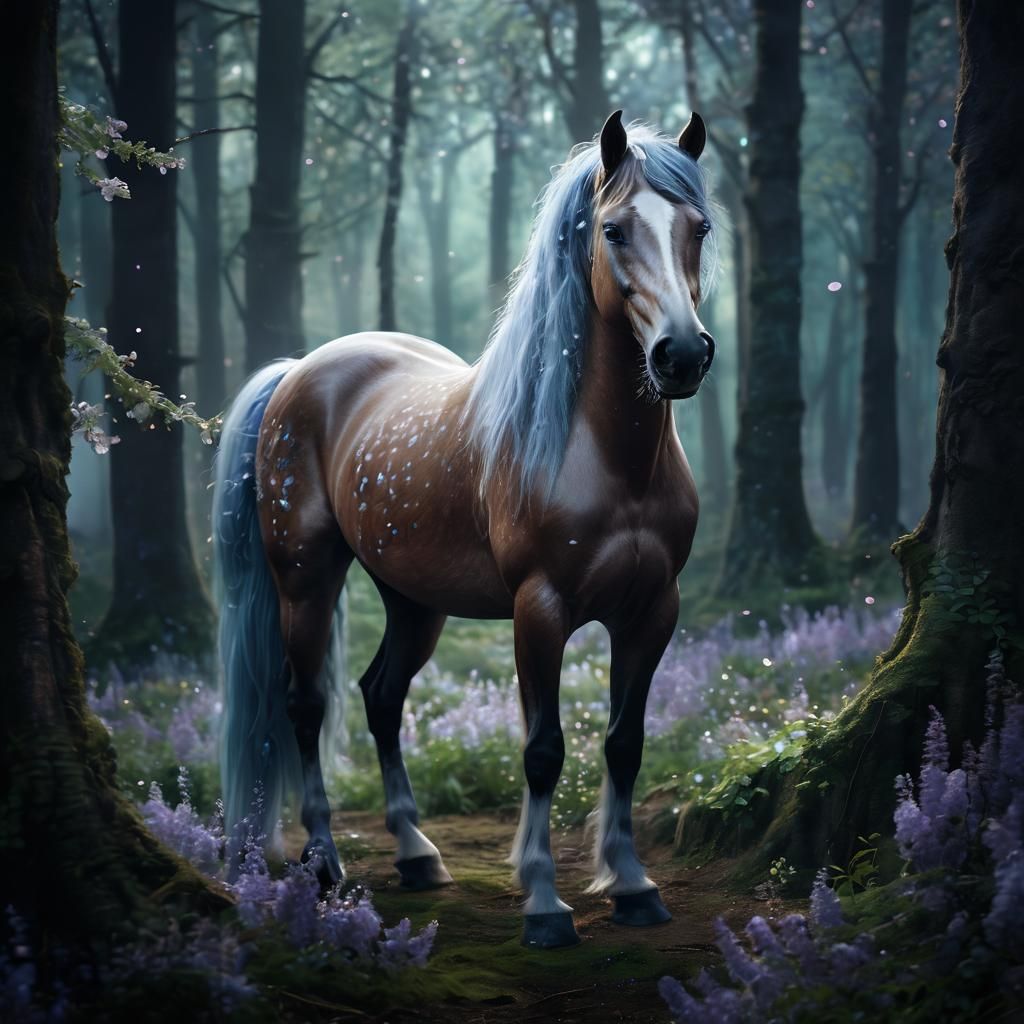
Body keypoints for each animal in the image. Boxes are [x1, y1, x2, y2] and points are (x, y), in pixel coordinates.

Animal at [213, 110, 719, 949]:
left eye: (699, 228)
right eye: (613, 229)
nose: (680, 355)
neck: (607, 456)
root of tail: (297, 372)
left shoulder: (653, 610)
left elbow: (624, 743)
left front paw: (633, 885)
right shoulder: (539, 610)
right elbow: (543, 751)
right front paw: (545, 903)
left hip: (416, 601)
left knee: (381, 696)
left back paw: (417, 853)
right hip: (305, 581)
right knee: (305, 706)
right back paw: (323, 860)